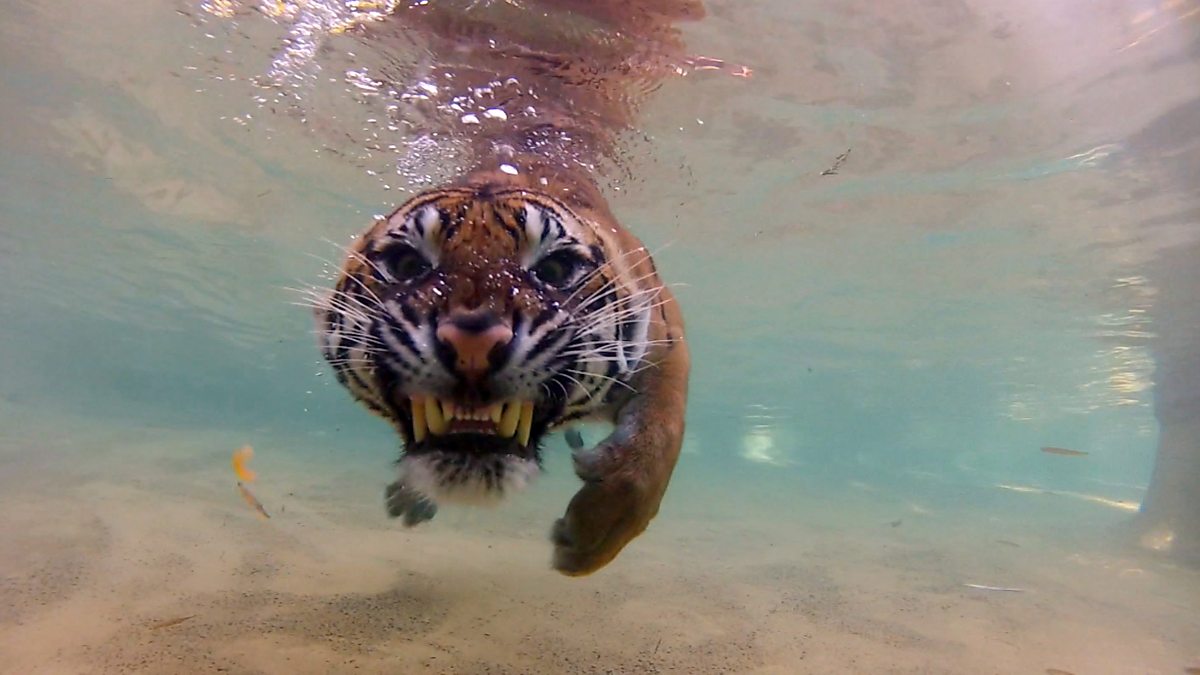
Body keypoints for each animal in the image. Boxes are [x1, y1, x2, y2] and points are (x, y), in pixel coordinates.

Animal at [312, 0, 700, 571]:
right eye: (406, 264)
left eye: (554, 272)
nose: (472, 342)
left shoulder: (666, 340)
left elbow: (659, 432)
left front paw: (592, 536)